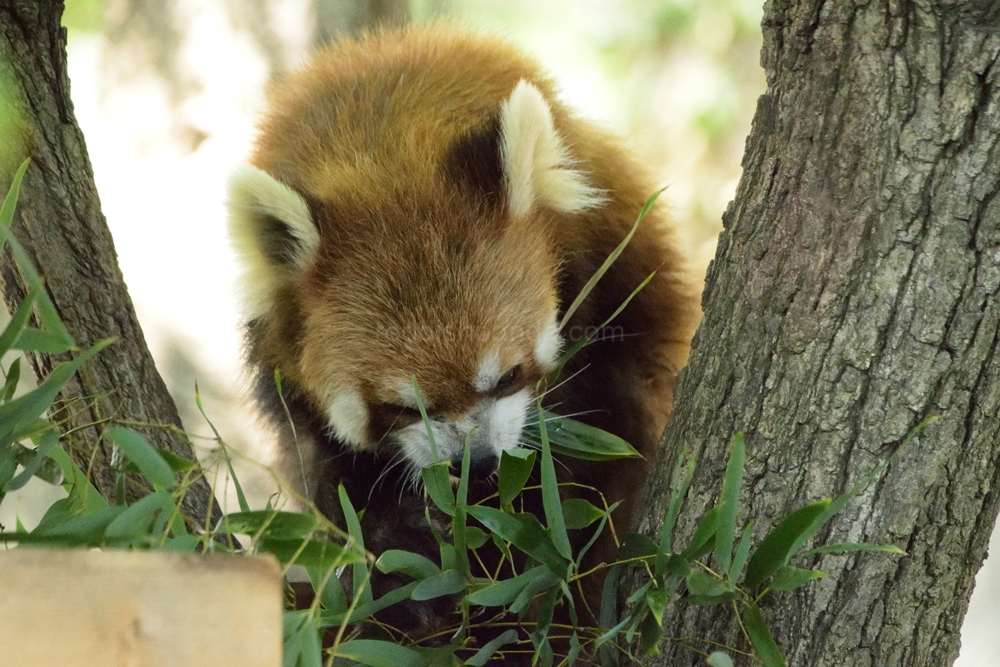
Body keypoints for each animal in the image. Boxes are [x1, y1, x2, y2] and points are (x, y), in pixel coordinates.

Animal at [229, 27, 696, 640]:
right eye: (401, 408)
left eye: (509, 375)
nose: (476, 466)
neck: (382, 139)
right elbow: (342, 492)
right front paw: (403, 563)